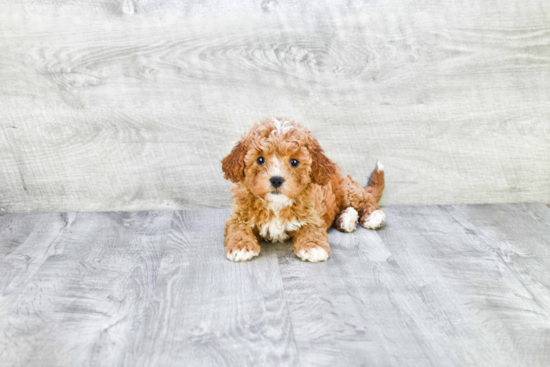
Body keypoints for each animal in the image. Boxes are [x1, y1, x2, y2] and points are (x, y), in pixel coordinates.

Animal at [222, 116, 386, 264]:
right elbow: (237, 228)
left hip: (345, 189)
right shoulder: (238, 216)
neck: (276, 204)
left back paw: (373, 216)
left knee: (364, 198)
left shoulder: (311, 215)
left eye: (294, 162)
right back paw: (348, 219)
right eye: (260, 159)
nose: (276, 179)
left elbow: (312, 228)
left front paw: (314, 247)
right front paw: (241, 246)